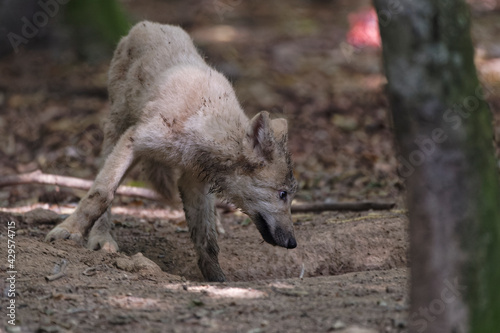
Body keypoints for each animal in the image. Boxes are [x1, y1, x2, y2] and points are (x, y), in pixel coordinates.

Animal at [46, 20, 296, 280]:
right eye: (283, 194)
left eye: (290, 195)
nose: (293, 243)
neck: (203, 123)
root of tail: (148, 24)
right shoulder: (134, 140)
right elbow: (101, 194)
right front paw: (68, 231)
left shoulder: (195, 182)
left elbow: (206, 239)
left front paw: (217, 279)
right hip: (116, 131)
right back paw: (101, 238)